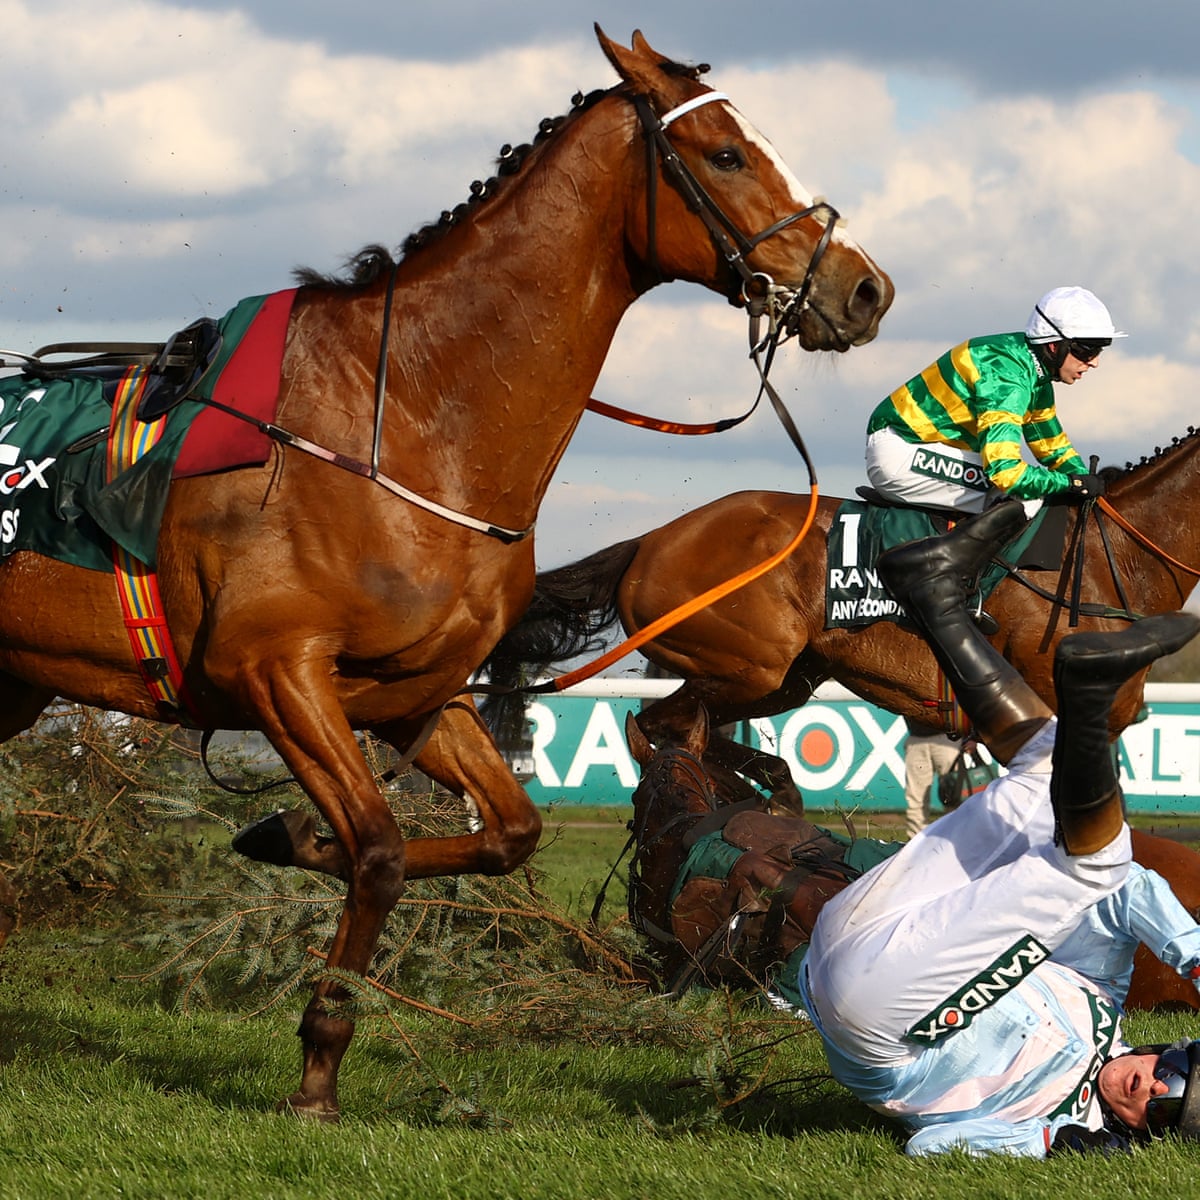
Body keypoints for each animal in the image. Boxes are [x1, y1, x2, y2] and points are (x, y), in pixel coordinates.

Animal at [0, 27, 893, 1119]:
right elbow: (380, 850)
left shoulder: (415, 695)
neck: (405, 424)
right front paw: (319, 1057)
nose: (865, 288)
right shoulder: (278, 672)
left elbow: (506, 832)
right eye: (725, 154)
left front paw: (287, 839)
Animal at [482, 427, 1200, 802]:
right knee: (657, 724)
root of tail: (650, 540)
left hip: (782, 679)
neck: (1114, 558)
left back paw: (767, 786)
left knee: (680, 727)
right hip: (749, 665)